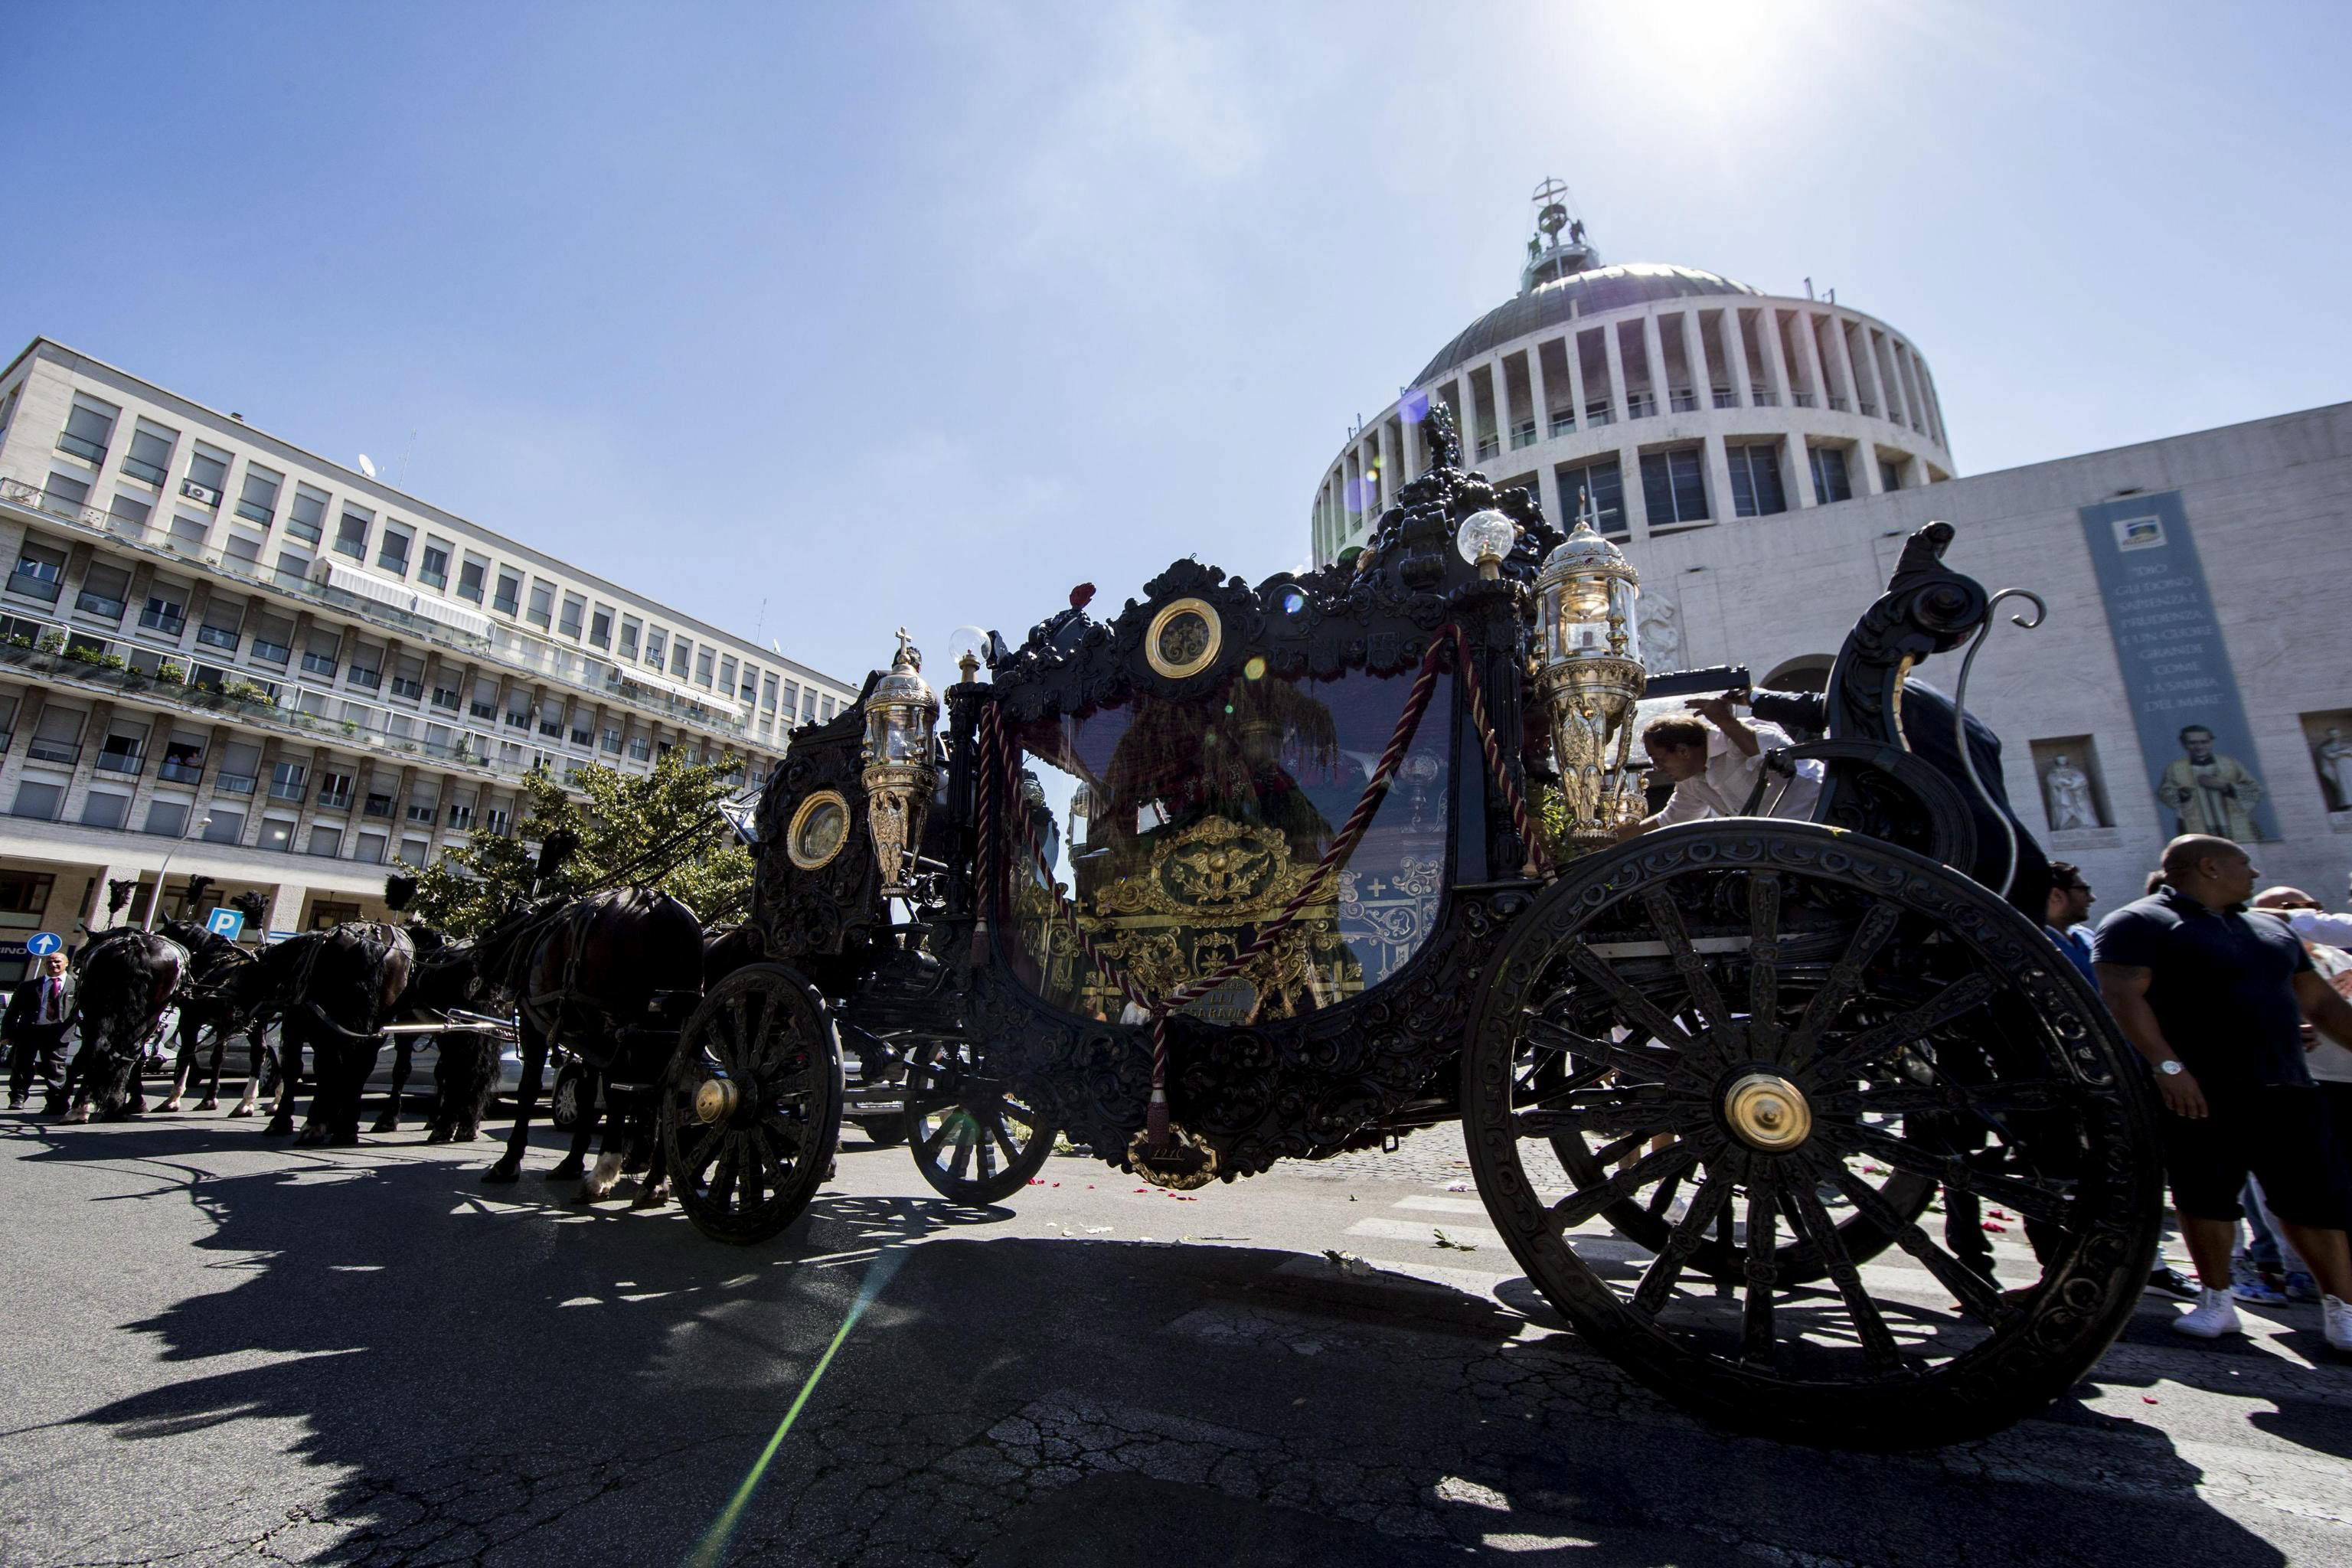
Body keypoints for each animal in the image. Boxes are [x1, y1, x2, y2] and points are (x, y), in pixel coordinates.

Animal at [475, 888, 696, 1213]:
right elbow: (589, 1093)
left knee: (624, 1093)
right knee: (667, 1094)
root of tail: (658, 907)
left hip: (614, 1023)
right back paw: (654, 1180)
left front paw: (507, 1163)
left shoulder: (534, 1022)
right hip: (664, 1029)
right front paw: (571, 1162)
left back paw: (605, 1172)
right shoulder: (586, 1039)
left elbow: (530, 1089)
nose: (473, 966)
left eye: (490, 931)